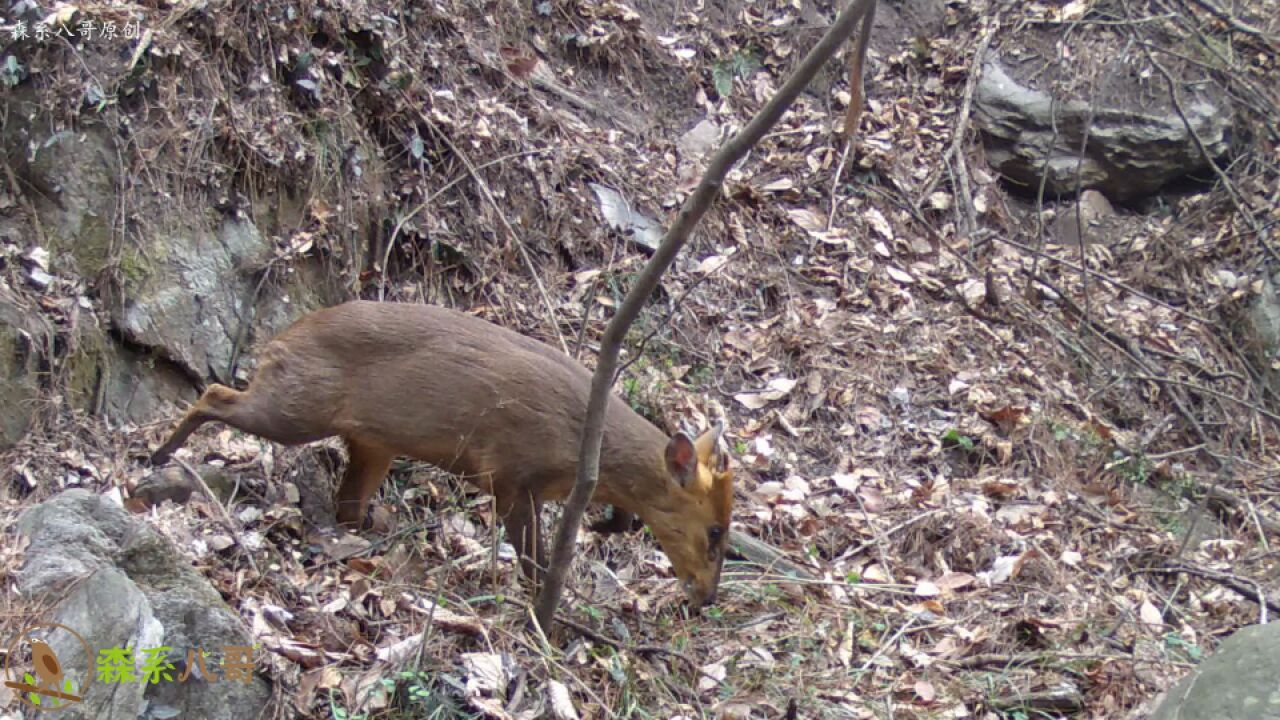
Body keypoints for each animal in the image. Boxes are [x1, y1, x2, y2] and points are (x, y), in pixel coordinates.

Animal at [148, 299, 732, 602]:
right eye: (715, 532)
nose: (707, 598)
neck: (583, 442)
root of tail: (280, 337)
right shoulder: (509, 472)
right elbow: (532, 559)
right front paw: (545, 613)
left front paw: (607, 525)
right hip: (296, 407)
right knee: (215, 392)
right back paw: (158, 455)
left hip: (370, 442)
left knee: (348, 506)